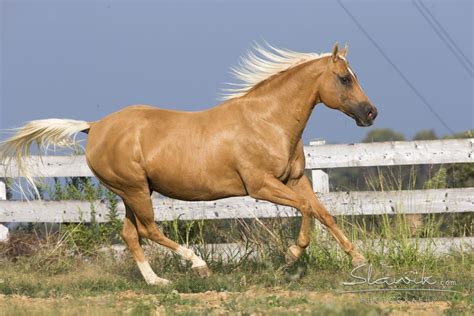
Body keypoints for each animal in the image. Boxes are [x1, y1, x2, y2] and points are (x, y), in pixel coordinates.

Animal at [0, 42, 378, 284]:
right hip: (135, 189)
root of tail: (95, 127)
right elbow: (306, 209)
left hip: (131, 192)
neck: (268, 121)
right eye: (345, 78)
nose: (371, 113)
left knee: (131, 234)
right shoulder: (261, 186)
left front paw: (359, 260)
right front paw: (291, 255)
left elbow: (323, 212)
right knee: (148, 230)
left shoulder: (294, 180)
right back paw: (198, 265)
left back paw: (157, 282)